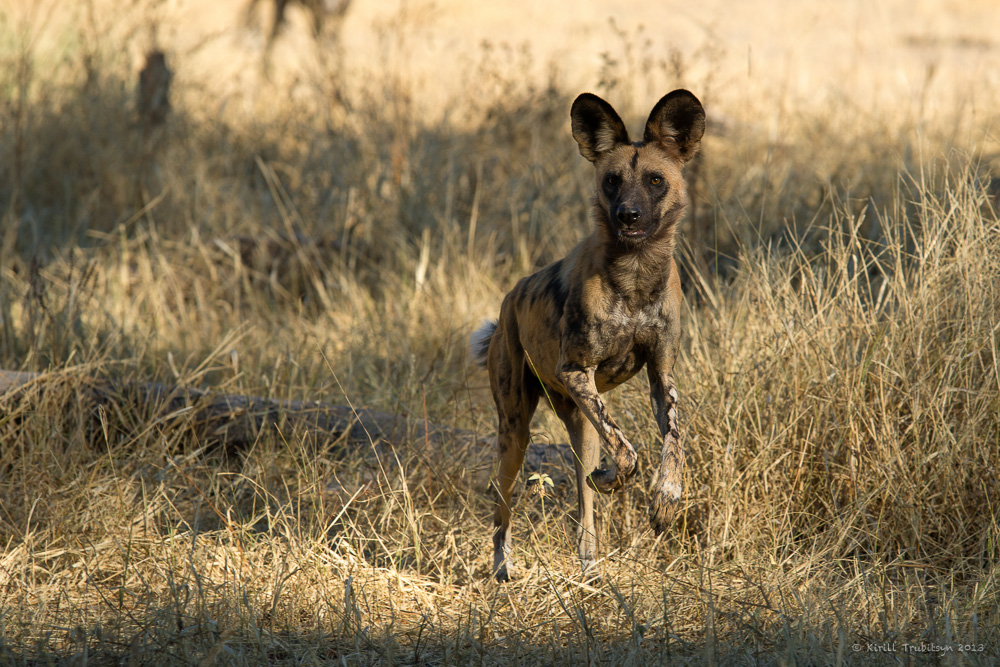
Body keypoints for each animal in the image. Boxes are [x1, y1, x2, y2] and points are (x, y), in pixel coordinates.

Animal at [468, 88, 704, 580]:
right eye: (612, 180)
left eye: (655, 180)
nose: (628, 214)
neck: (636, 273)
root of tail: (508, 302)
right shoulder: (576, 370)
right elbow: (630, 453)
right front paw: (622, 479)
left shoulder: (661, 377)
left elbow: (674, 439)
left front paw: (666, 499)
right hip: (515, 433)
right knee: (503, 505)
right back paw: (503, 568)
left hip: (582, 429)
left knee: (586, 502)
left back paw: (591, 565)